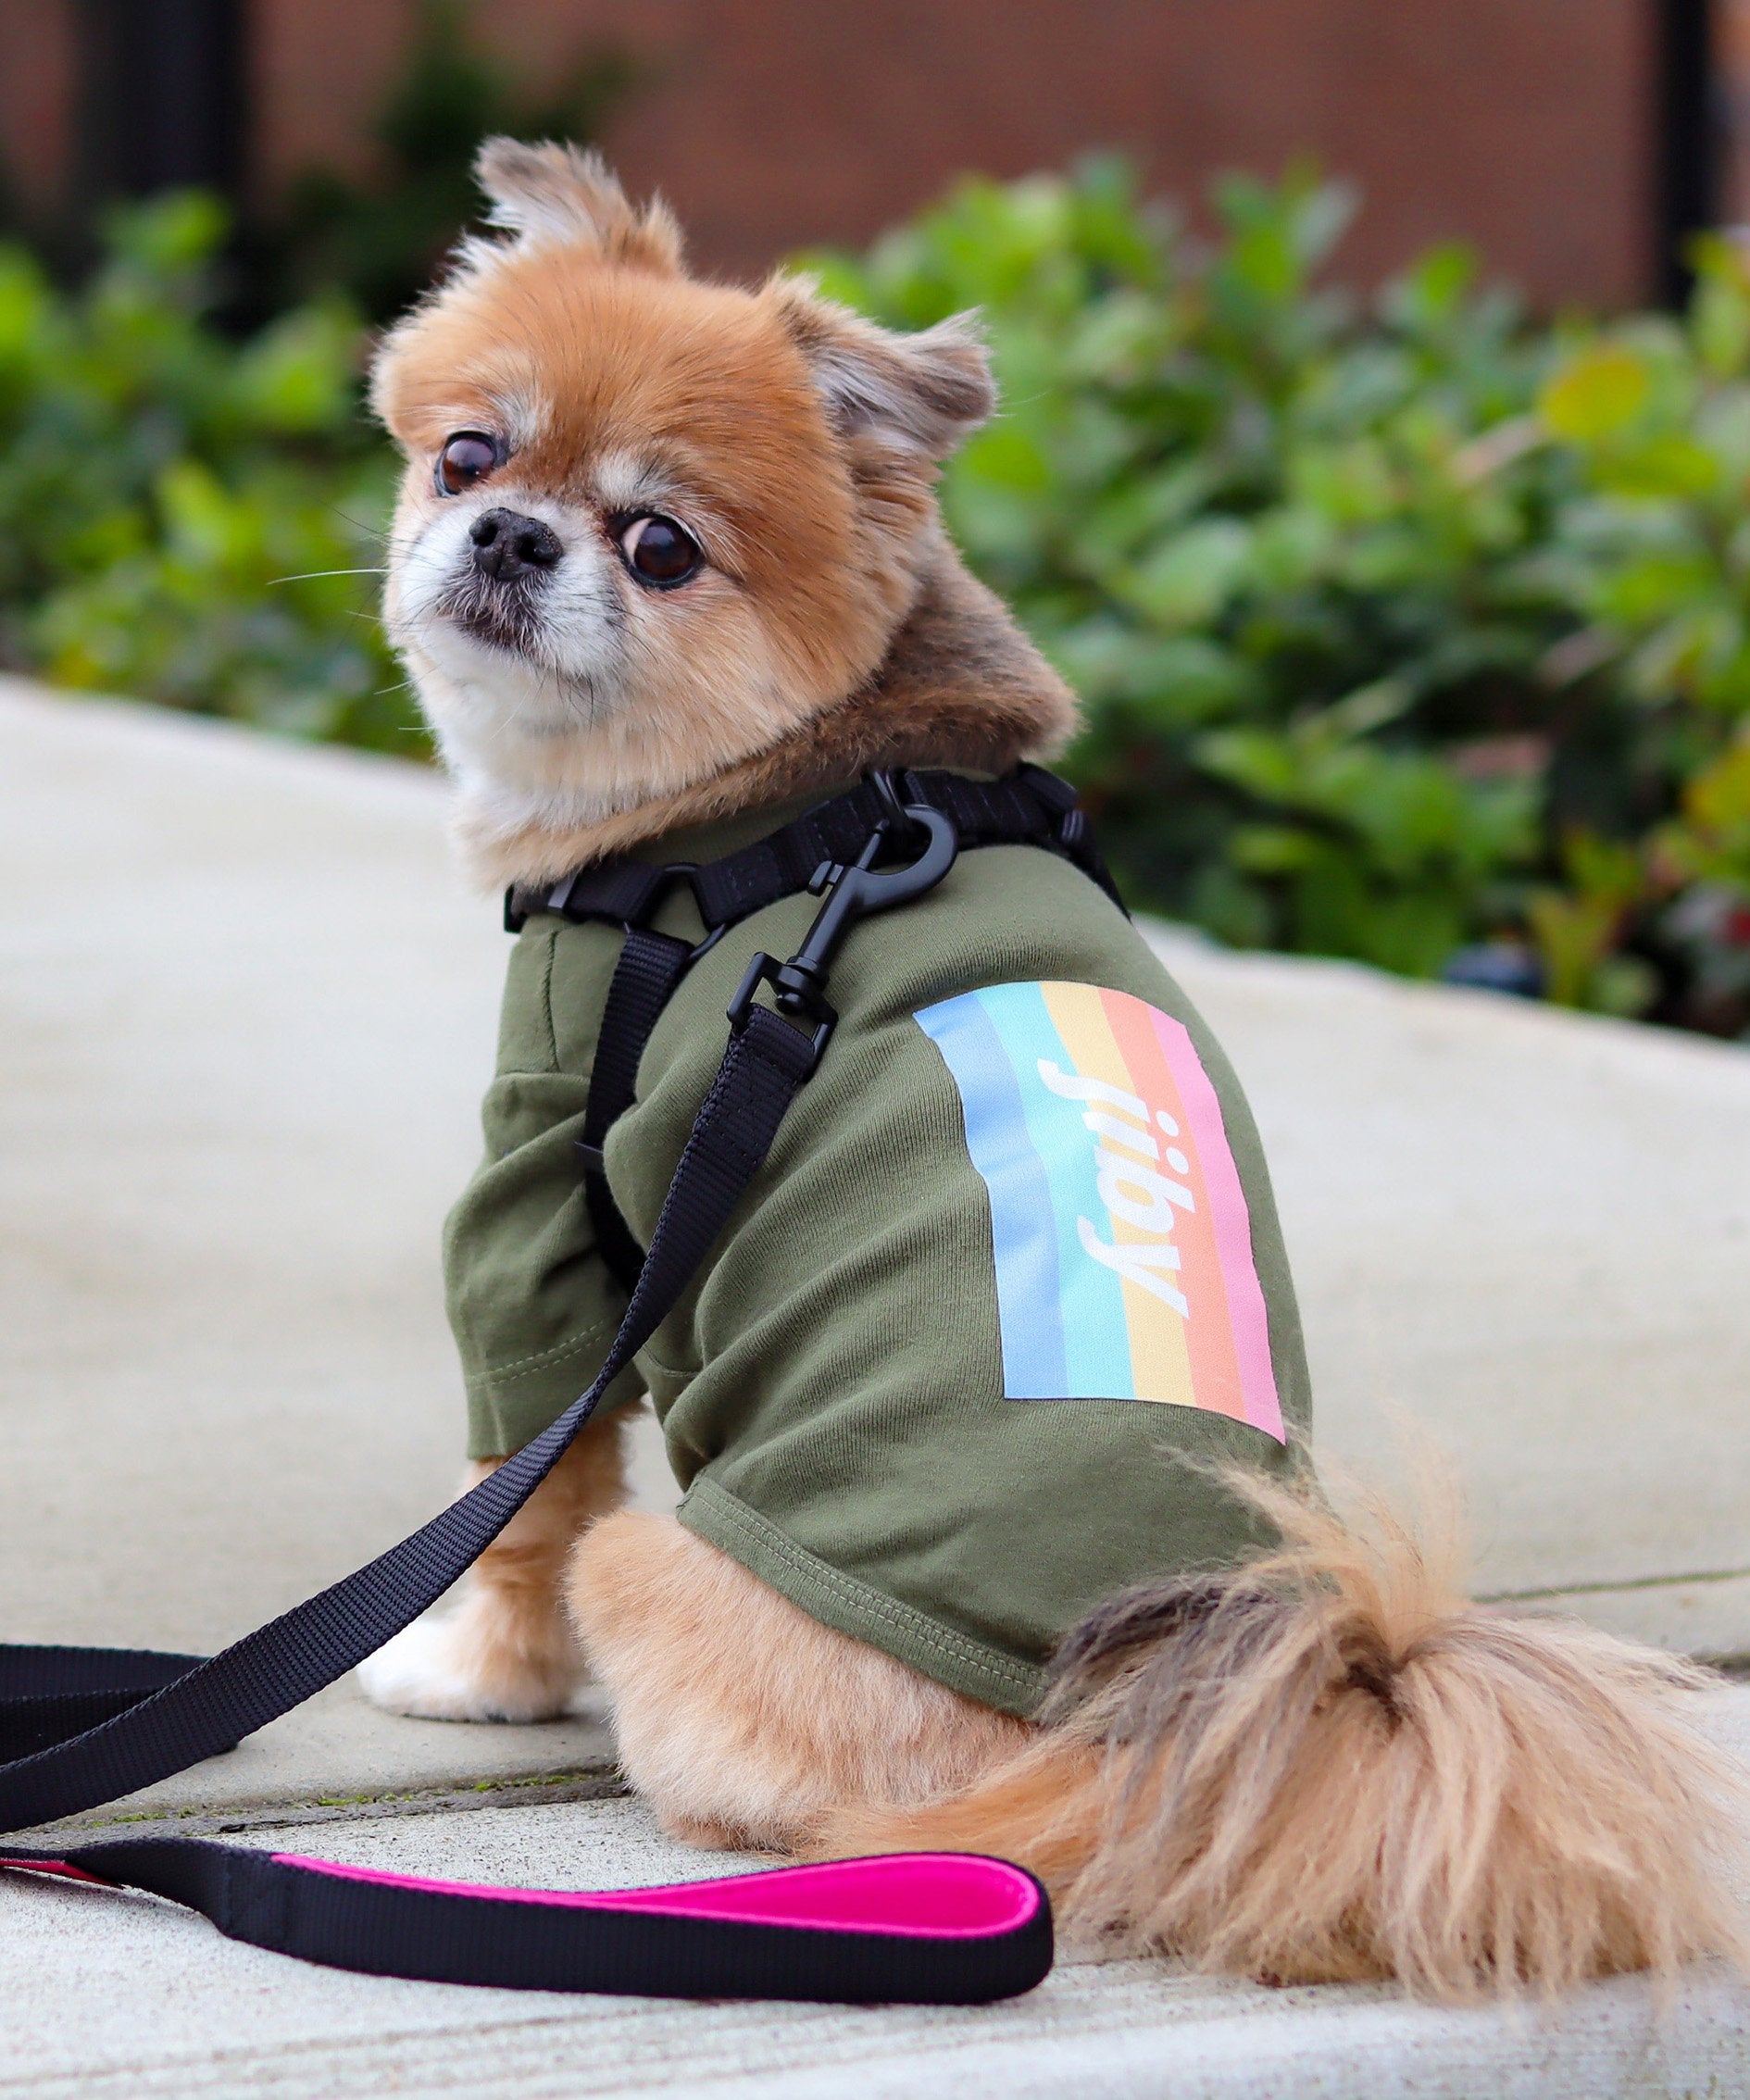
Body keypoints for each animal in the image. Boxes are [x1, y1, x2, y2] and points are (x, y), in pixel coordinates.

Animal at [361, 139, 1739, 1991]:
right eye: (468, 453)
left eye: (658, 546)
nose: (506, 529)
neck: (782, 796)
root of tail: (1136, 1734)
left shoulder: (543, 1199)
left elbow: (521, 1491)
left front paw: (469, 1669)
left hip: (662, 1570)